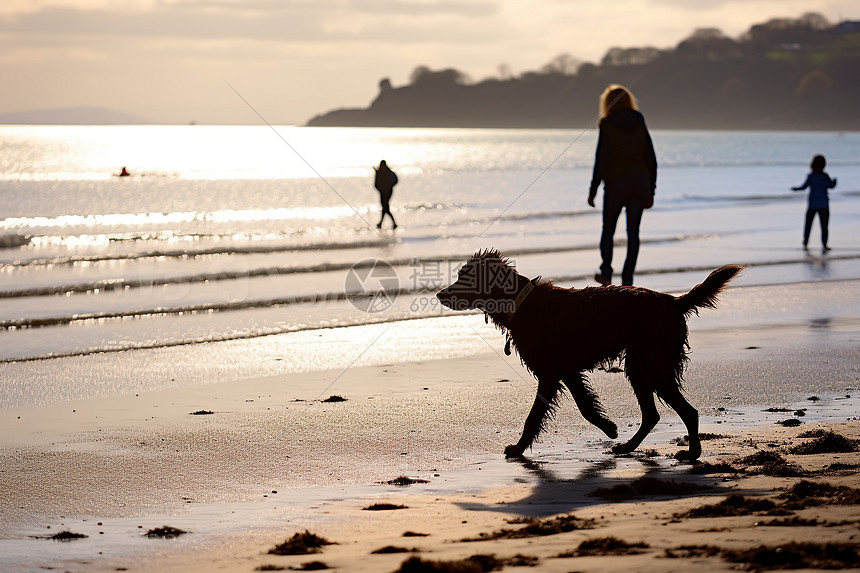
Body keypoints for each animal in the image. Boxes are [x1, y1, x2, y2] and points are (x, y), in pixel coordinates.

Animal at [434, 250, 744, 460]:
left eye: (465, 278)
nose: (439, 294)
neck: (522, 303)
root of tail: (673, 302)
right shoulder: (567, 371)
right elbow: (584, 405)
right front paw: (609, 428)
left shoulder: (549, 373)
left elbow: (534, 416)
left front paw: (519, 448)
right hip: (638, 365)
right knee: (651, 415)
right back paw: (628, 446)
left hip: (655, 363)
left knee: (688, 412)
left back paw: (691, 453)